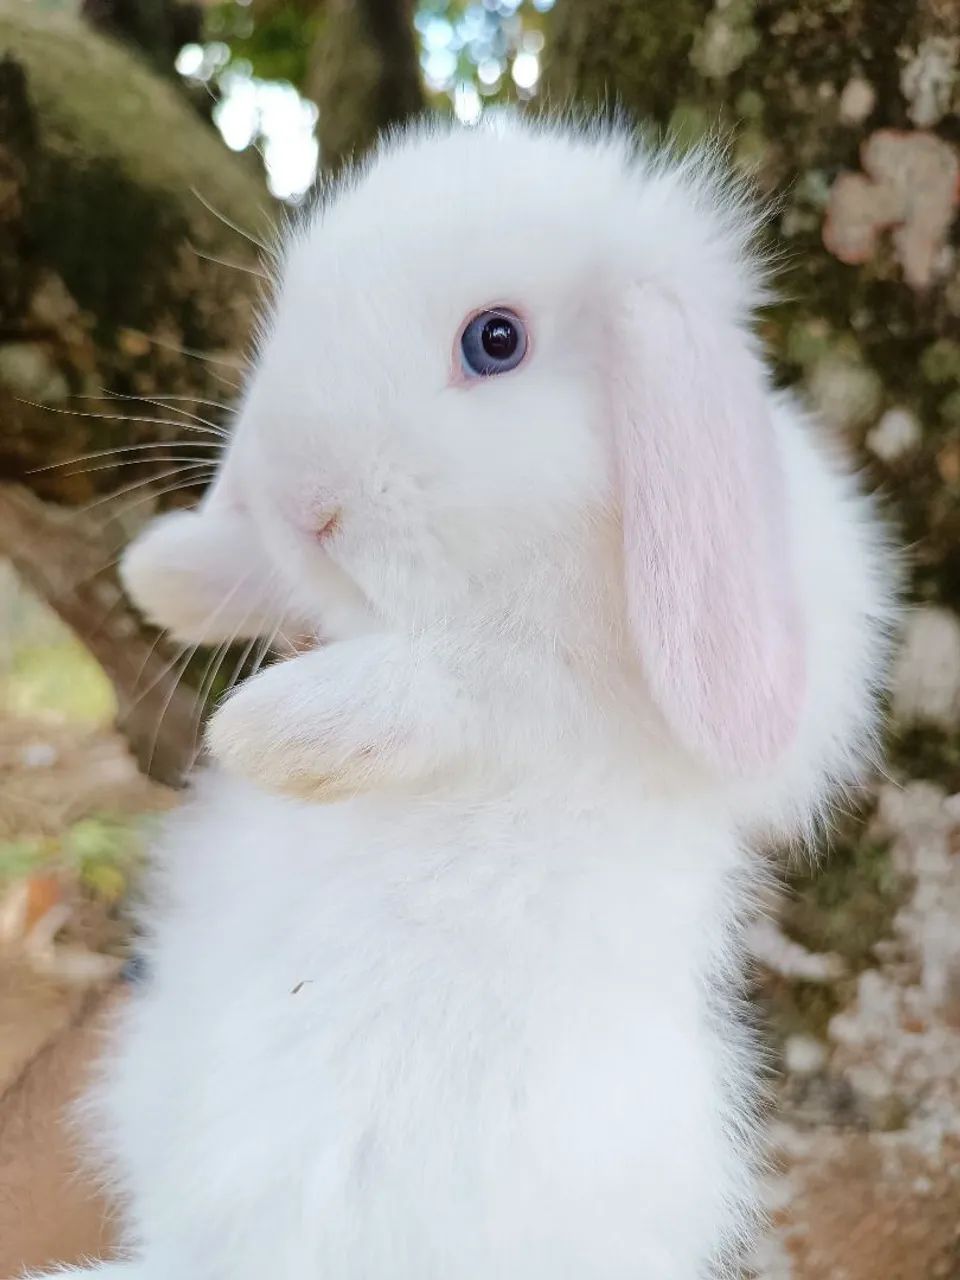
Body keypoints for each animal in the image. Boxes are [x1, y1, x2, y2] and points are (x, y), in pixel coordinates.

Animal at [22, 116, 895, 1280]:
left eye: (495, 341)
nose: (303, 503)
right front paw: (166, 571)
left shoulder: (569, 703)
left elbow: (465, 683)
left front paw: (266, 728)